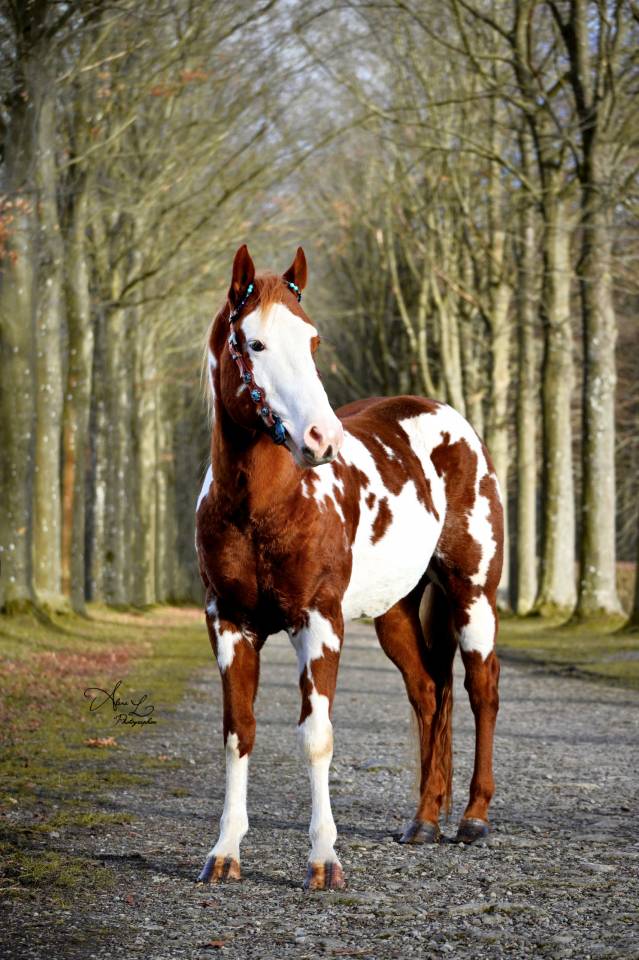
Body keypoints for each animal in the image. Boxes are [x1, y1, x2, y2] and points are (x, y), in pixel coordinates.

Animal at [195, 244, 502, 891]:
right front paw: (225, 852)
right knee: (429, 693)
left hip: (474, 596)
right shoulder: (228, 625)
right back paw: (424, 821)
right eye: (254, 343)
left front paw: (324, 860)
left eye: (313, 340)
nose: (321, 439)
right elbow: (239, 732)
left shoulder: (319, 623)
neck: (266, 507)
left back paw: (474, 818)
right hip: (395, 615)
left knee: (481, 690)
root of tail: (450, 422)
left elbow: (317, 738)